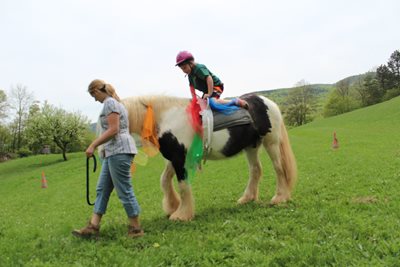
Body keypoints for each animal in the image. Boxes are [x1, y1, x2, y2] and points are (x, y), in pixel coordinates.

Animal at [122, 94, 296, 222]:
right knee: (256, 170)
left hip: (271, 142)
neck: (167, 116)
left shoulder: (179, 158)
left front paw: (181, 215)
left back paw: (279, 198)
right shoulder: (173, 158)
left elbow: (183, 186)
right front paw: (172, 206)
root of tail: (268, 101)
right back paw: (247, 198)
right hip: (252, 146)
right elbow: (164, 181)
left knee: (279, 168)